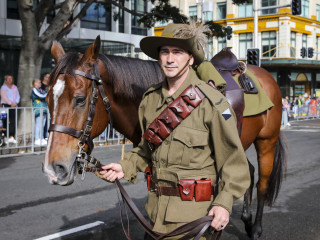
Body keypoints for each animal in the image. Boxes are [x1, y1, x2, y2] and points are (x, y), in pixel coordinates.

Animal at [43, 36, 288, 239]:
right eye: (47, 99)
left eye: (80, 99)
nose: (53, 169)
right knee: (247, 171)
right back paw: (246, 218)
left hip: (266, 142)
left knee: (262, 182)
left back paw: (256, 228)